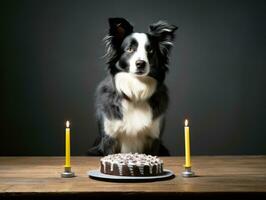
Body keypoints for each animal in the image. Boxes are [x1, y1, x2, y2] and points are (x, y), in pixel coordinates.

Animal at [88, 18, 178, 155]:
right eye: (130, 49)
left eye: (150, 50)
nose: (141, 63)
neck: (136, 93)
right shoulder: (109, 138)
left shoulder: (154, 138)